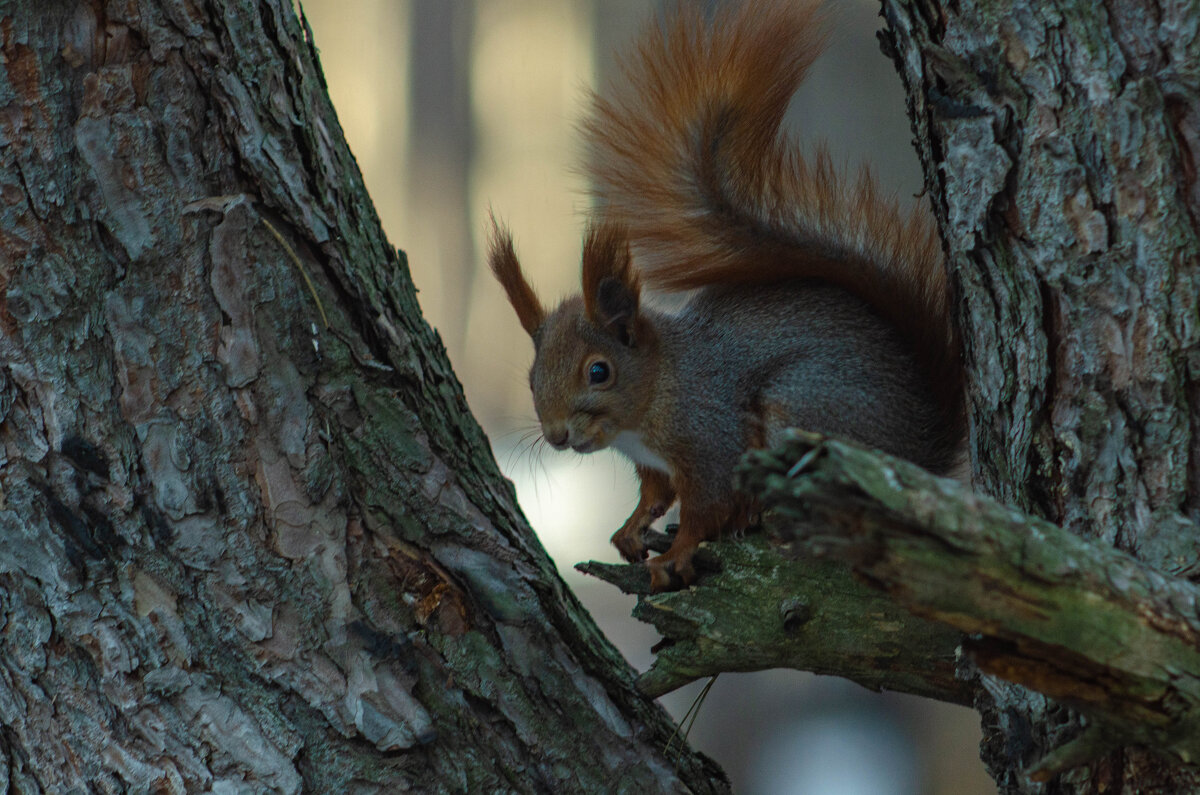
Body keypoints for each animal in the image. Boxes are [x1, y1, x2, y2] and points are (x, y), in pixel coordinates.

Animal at [482, 0, 960, 590]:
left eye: (599, 371)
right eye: (531, 377)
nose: (555, 436)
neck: (655, 395)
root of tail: (924, 449)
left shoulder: (710, 434)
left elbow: (704, 507)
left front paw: (676, 554)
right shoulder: (655, 464)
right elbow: (655, 496)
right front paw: (630, 531)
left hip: (805, 410)